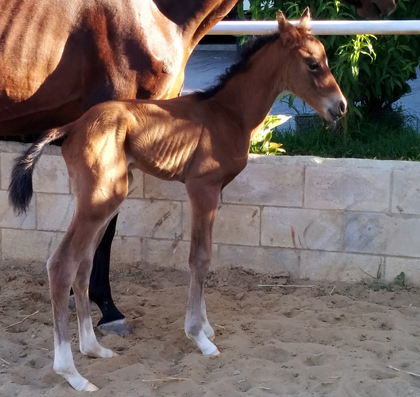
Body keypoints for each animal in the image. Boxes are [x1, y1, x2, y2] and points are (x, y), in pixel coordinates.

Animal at [1, 0, 398, 332]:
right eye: (313, 63)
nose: (340, 107)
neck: (226, 111)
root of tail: (71, 126)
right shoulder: (201, 188)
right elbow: (199, 258)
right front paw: (199, 330)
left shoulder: (213, 191)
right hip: (103, 193)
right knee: (66, 259)